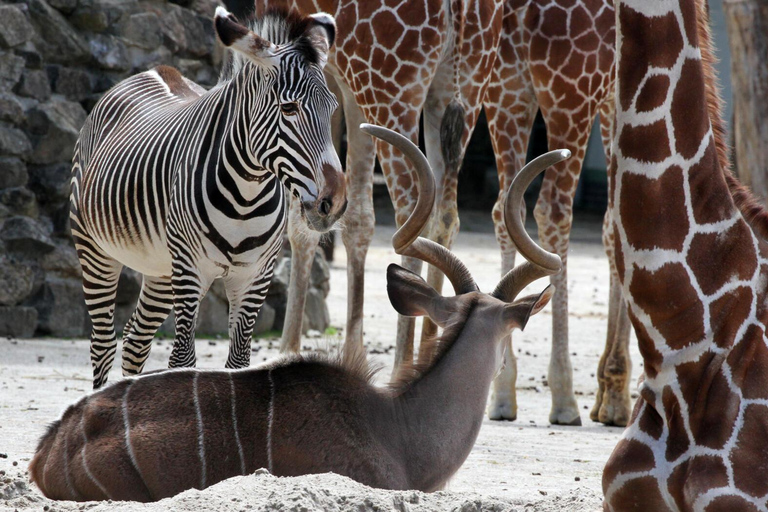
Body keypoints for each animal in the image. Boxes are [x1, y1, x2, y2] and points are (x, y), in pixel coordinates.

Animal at [70, 7, 346, 388]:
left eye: (332, 108)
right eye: (289, 108)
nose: (333, 203)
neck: (246, 196)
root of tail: (155, 70)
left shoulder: (255, 277)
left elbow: (239, 362)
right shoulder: (190, 270)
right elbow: (183, 359)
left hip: (160, 268)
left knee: (135, 340)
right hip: (95, 249)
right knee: (102, 344)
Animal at [228, 0, 508, 368]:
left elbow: (302, 225)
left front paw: (288, 349)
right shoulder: (342, 84)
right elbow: (358, 217)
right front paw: (353, 351)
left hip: (393, 90)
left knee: (413, 213)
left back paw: (402, 365)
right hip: (465, 87)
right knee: (447, 216)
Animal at [484, 0, 628, 426]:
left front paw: (607, 394)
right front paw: (616, 397)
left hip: (505, 93)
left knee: (506, 206)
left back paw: (502, 393)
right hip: (570, 95)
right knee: (553, 209)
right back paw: (564, 398)